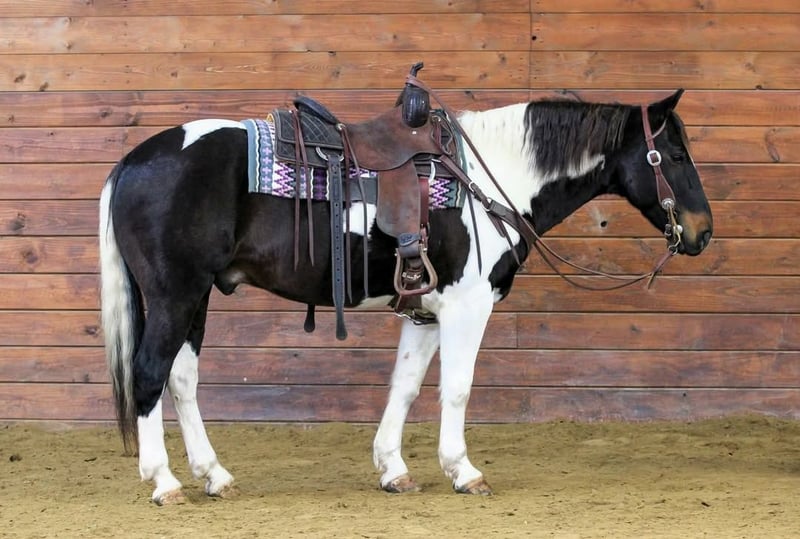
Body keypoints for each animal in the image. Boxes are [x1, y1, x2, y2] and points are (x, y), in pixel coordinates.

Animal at [99, 87, 713, 504]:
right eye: (675, 156)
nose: (703, 232)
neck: (491, 178)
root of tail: (133, 160)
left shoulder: (425, 314)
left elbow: (407, 386)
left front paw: (394, 469)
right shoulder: (468, 306)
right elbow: (457, 390)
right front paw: (464, 471)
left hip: (197, 297)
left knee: (181, 379)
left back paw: (214, 475)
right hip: (176, 293)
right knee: (150, 374)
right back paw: (165, 482)